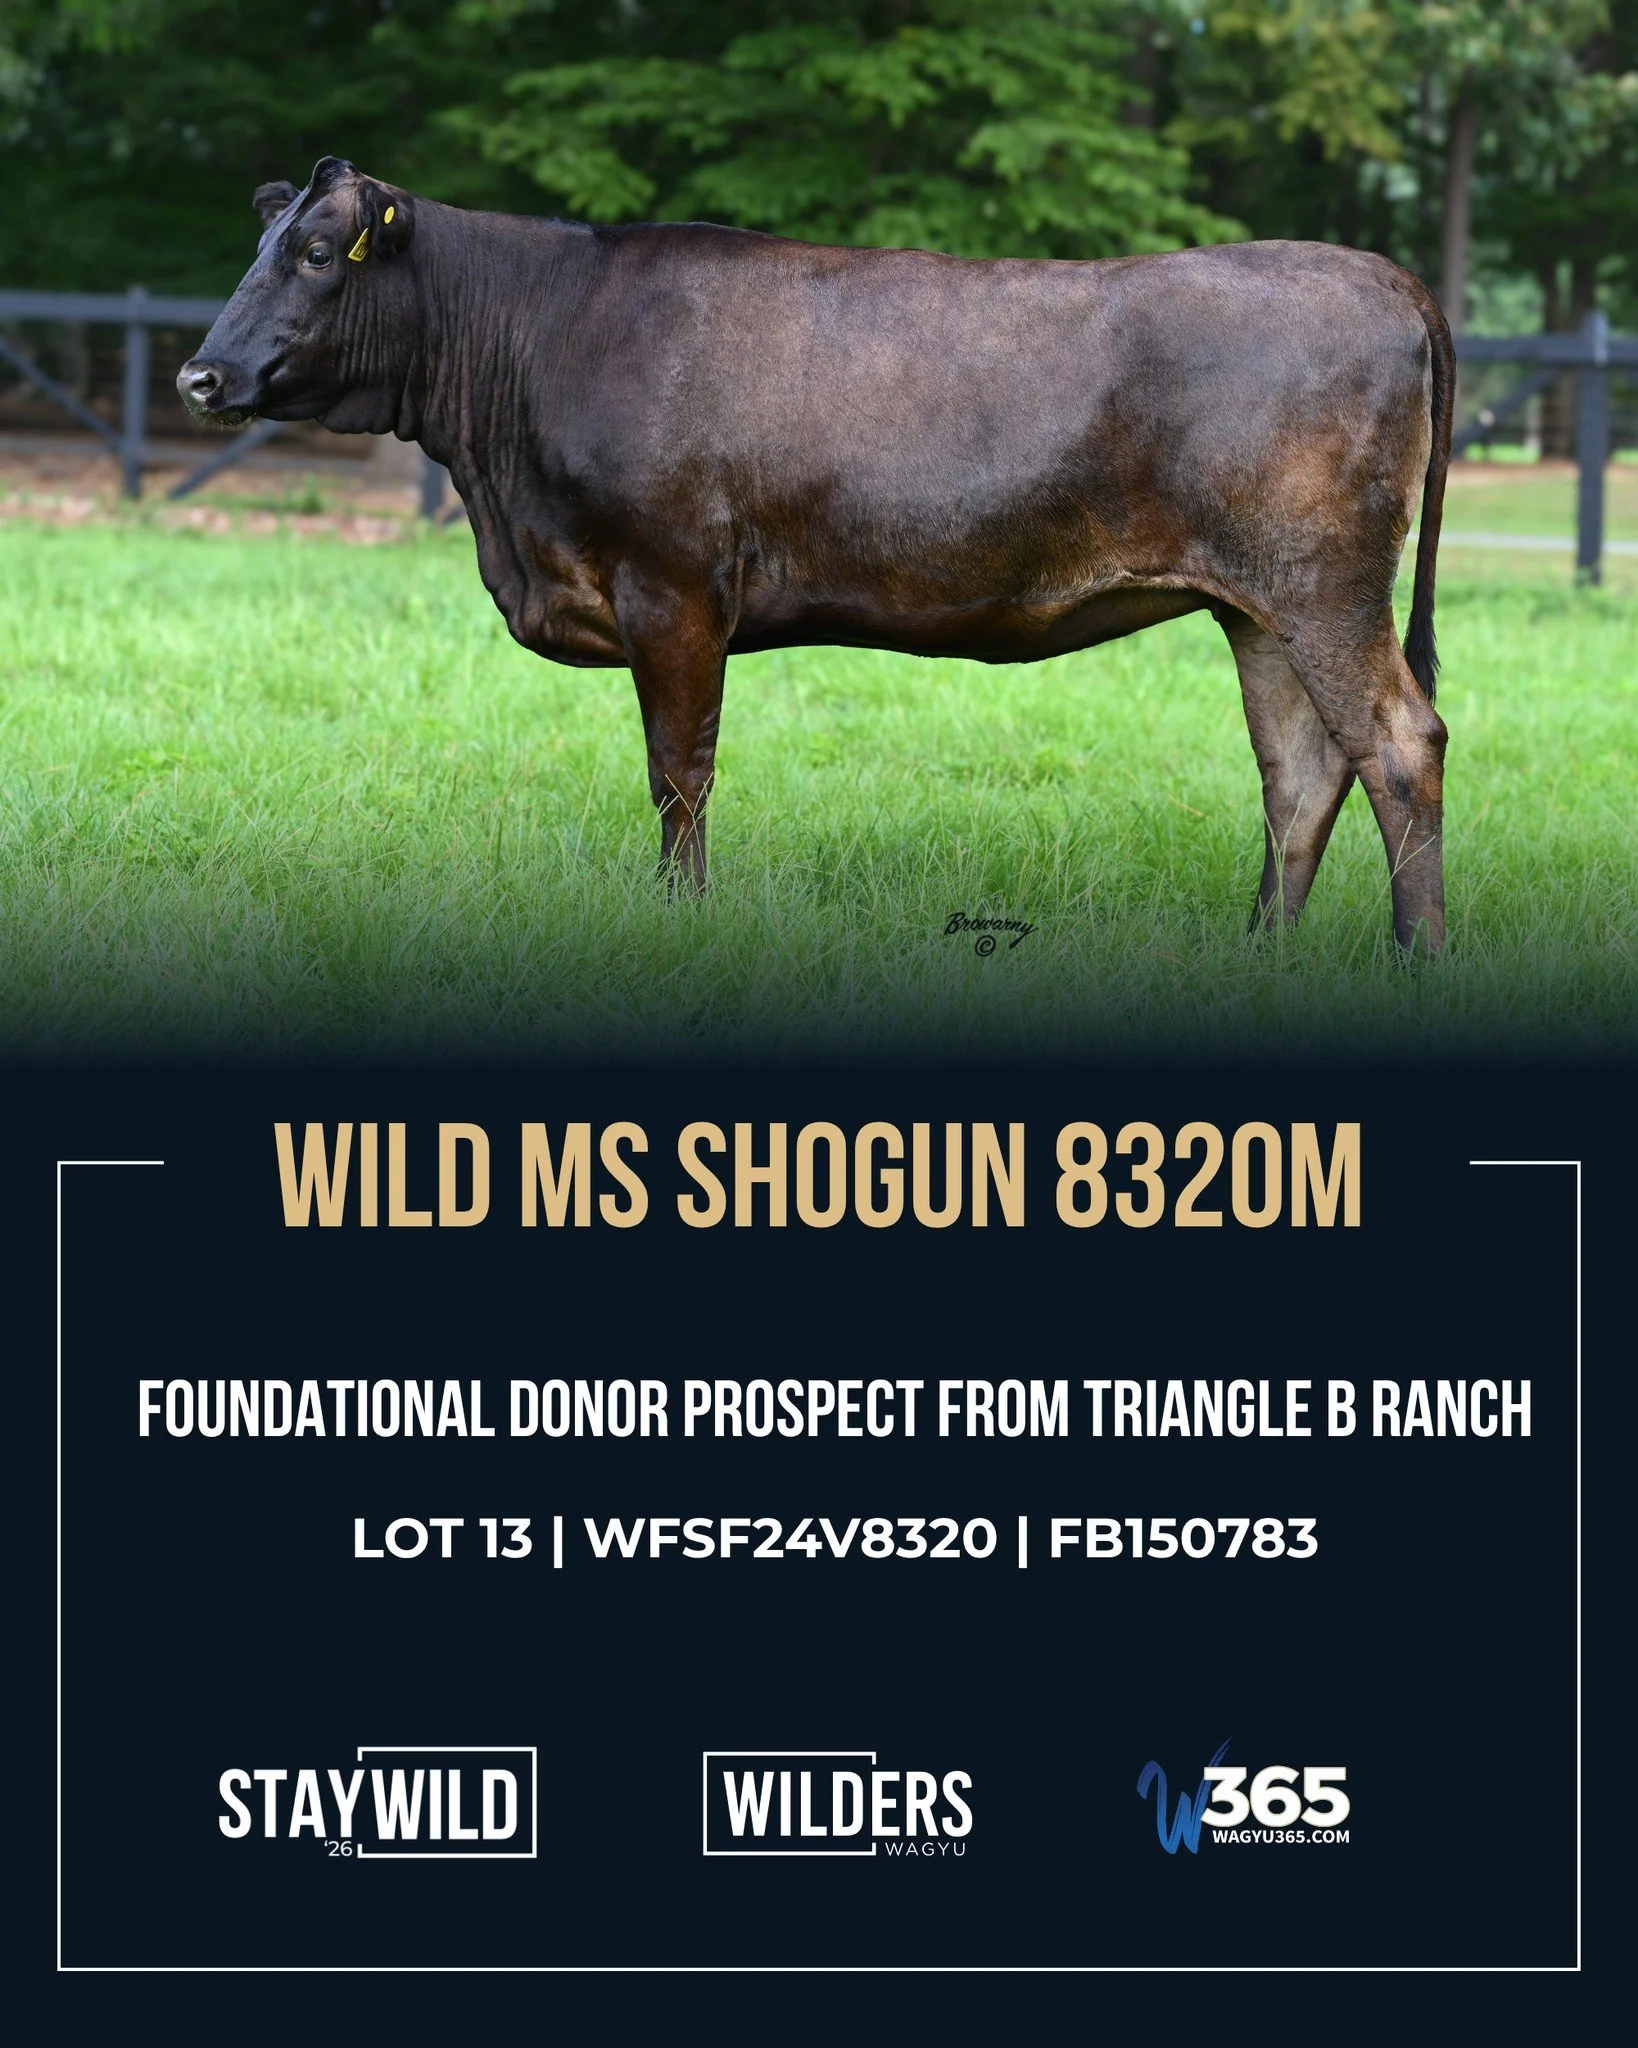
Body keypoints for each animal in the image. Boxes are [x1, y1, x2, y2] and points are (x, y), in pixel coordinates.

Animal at [178, 157, 1452, 953]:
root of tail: (1376, 271)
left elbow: (678, 776)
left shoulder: (672, 587)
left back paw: (1416, 956)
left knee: (1398, 743)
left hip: (1324, 585)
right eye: (260, 244)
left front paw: (680, 920)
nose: (201, 375)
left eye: (317, 254)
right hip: (1260, 603)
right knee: (1300, 769)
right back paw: (1263, 951)